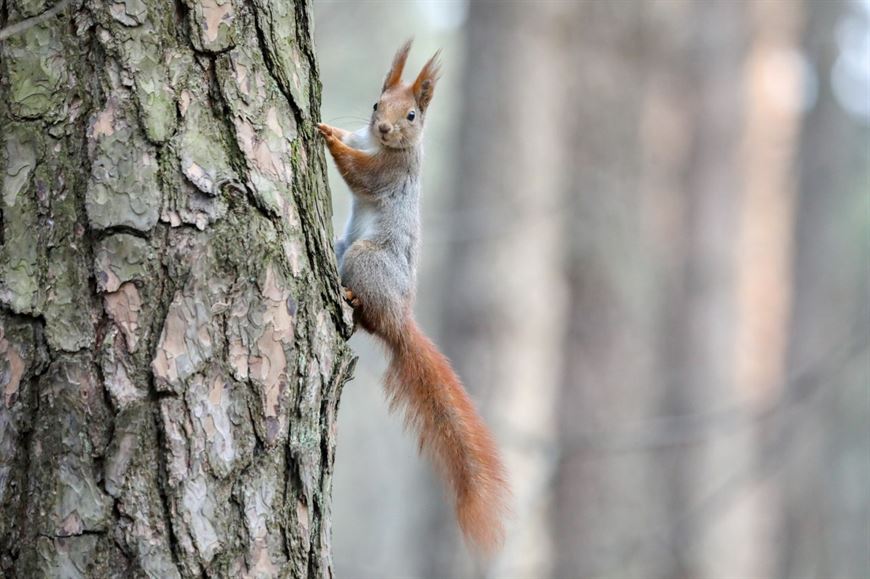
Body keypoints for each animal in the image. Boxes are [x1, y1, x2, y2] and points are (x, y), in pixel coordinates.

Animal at [318, 40, 510, 552]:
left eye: (411, 115)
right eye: (375, 105)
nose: (383, 127)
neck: (383, 146)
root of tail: (399, 319)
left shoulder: (389, 172)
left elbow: (359, 173)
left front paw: (328, 141)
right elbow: (353, 143)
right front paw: (333, 128)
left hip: (364, 259)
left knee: (366, 314)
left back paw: (352, 298)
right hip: (343, 249)